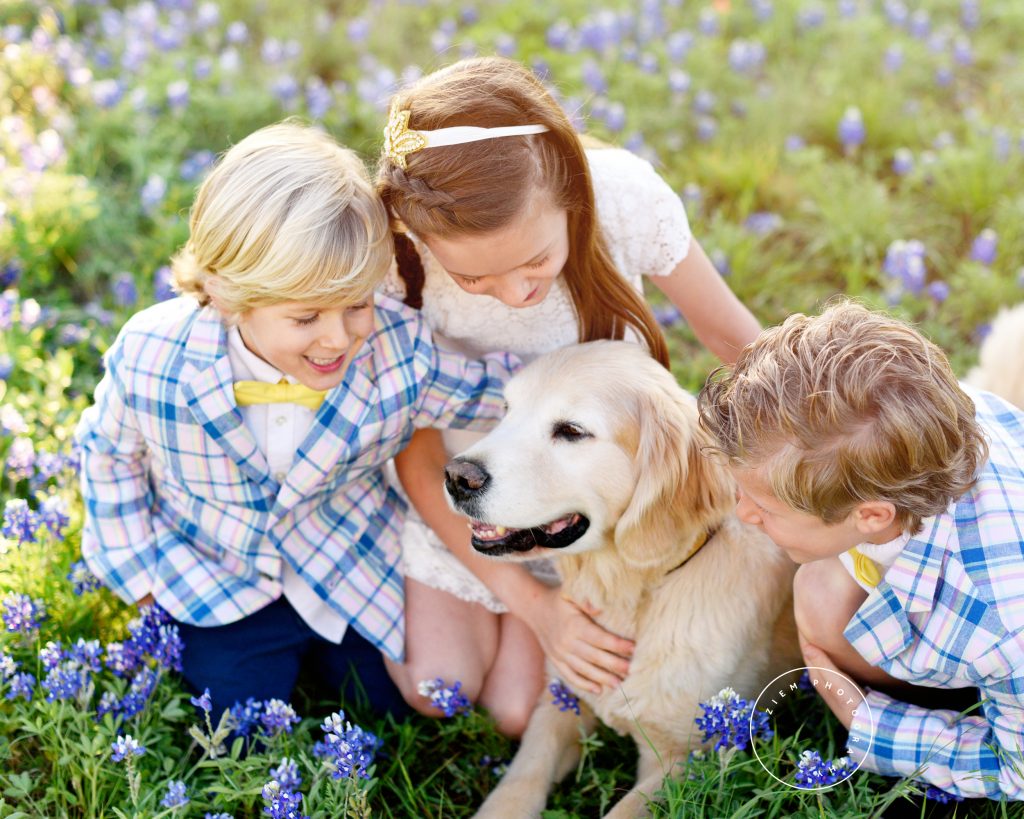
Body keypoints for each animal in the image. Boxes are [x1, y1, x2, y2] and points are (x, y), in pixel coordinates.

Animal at [444, 341, 802, 814]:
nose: (456, 476)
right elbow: (521, 778)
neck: (631, 593)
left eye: (572, 431)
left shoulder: (686, 757)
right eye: (506, 409)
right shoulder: (561, 698)